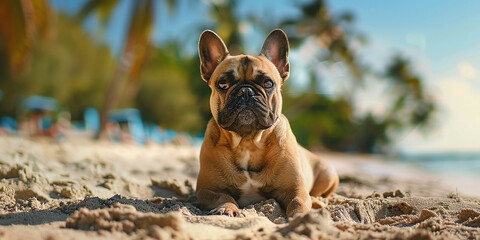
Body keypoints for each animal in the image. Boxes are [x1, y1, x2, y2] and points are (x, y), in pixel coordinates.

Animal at [194, 28, 338, 218]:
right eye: (223, 84)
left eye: (268, 83)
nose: (245, 92)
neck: (247, 142)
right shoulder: (207, 189)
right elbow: (223, 196)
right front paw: (226, 208)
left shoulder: (295, 189)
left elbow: (298, 201)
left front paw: (300, 216)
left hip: (329, 174)